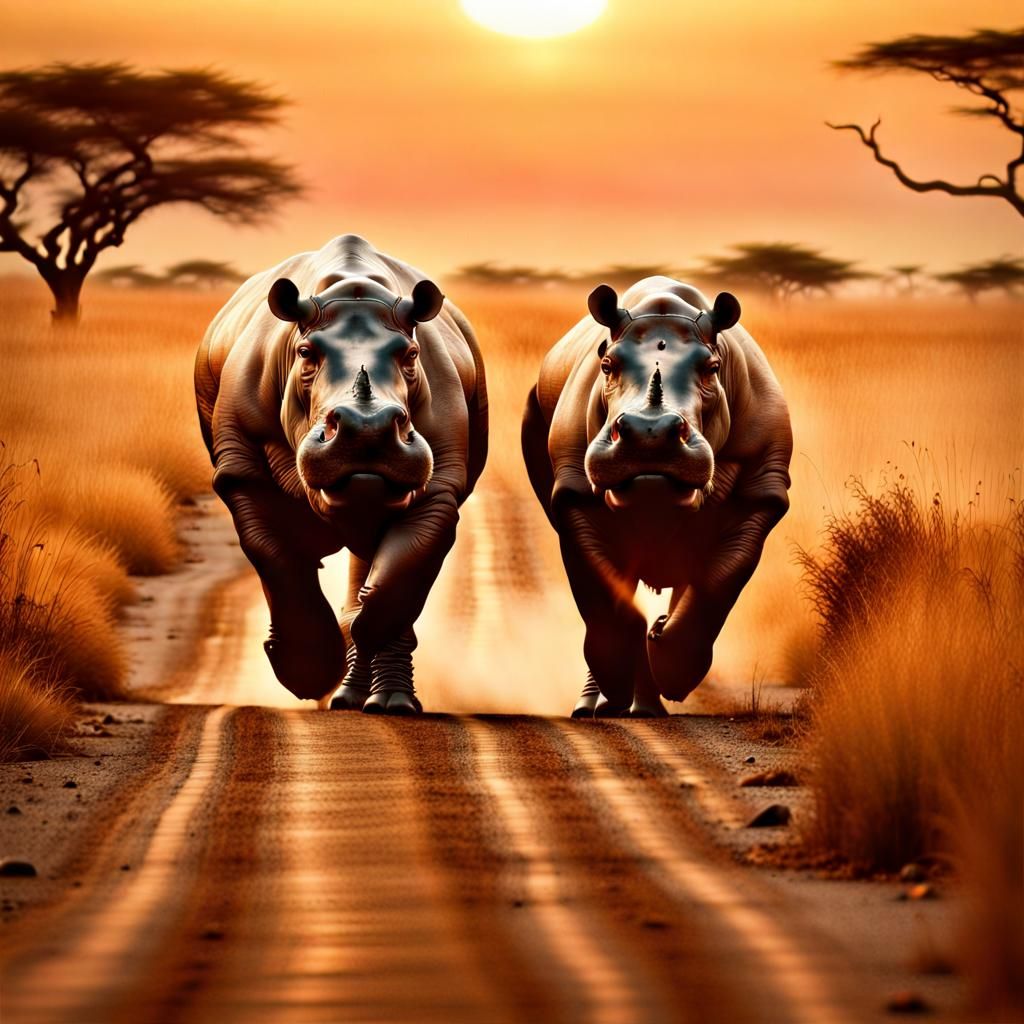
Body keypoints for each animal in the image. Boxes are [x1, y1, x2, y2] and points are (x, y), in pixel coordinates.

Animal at [195, 235, 487, 714]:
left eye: (412, 355)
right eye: (305, 354)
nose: (367, 430)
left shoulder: (440, 480)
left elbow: (409, 561)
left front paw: (365, 629)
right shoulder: (240, 467)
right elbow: (272, 553)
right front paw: (308, 672)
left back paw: (382, 702)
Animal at [522, 277, 791, 717]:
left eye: (713, 369)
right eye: (606, 365)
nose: (650, 434)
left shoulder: (762, 492)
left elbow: (720, 578)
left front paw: (673, 666)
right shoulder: (574, 490)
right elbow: (605, 589)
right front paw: (618, 680)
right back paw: (605, 708)